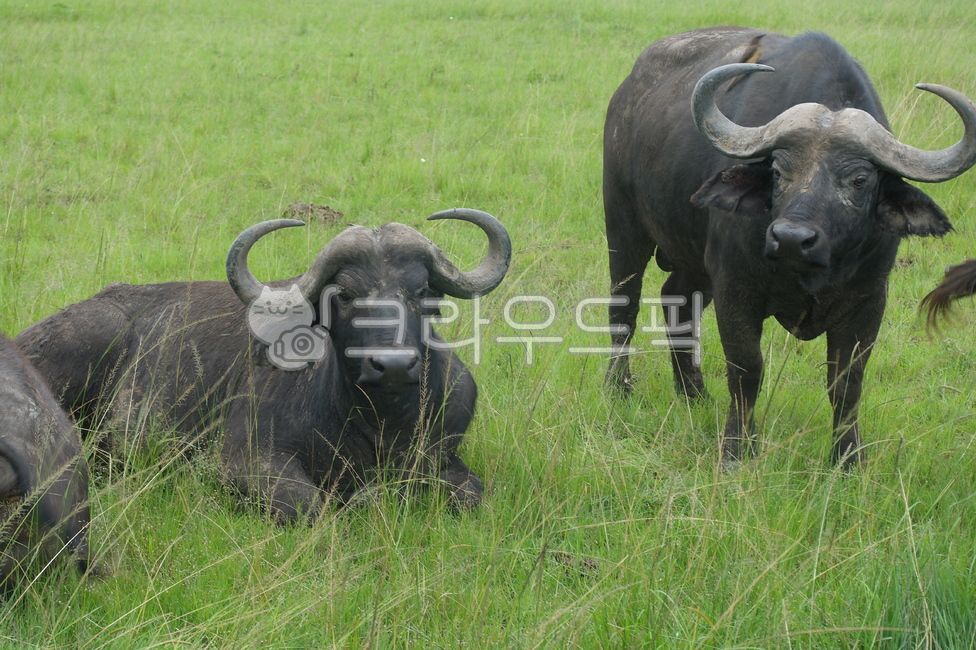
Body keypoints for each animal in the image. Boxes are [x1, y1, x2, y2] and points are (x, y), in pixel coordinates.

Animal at [18, 208, 510, 521]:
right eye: (345, 295)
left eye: (423, 291)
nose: (390, 366)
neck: (379, 420)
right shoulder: (243, 461)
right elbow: (311, 506)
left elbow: (471, 493)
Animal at [603, 28, 976, 466]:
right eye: (779, 172)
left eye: (860, 180)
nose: (791, 239)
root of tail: (628, 91)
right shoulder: (736, 289)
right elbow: (747, 370)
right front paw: (737, 449)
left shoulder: (869, 299)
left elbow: (846, 381)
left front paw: (848, 458)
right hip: (623, 226)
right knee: (624, 307)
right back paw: (619, 387)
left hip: (693, 261)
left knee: (675, 300)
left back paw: (694, 394)